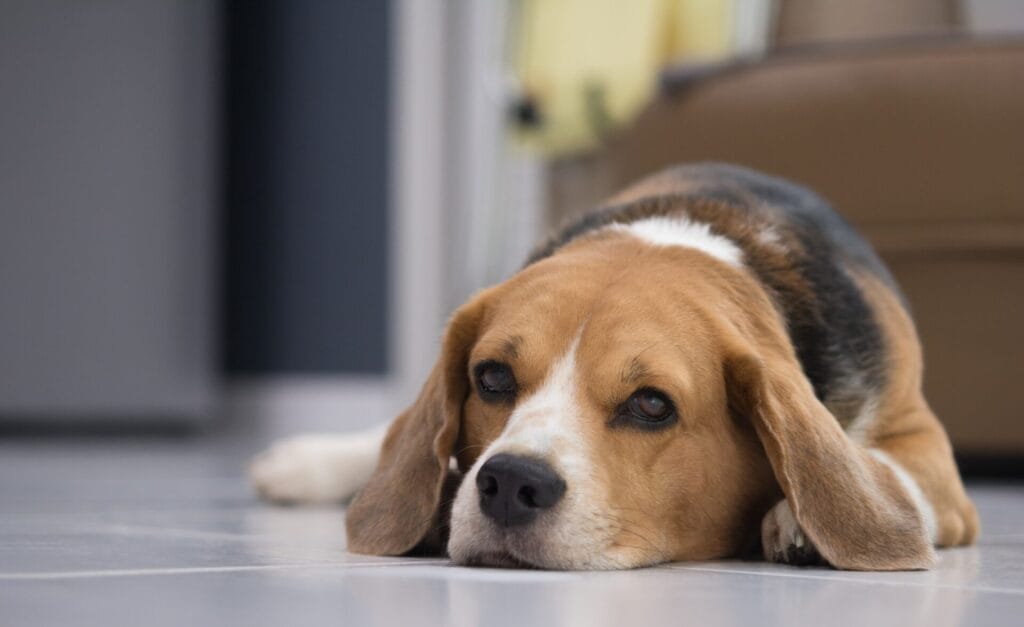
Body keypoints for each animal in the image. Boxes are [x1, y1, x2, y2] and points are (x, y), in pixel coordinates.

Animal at [247, 163, 974, 569]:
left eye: (652, 404)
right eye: (491, 378)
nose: (510, 483)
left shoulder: (926, 446)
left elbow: (887, 472)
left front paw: (803, 519)